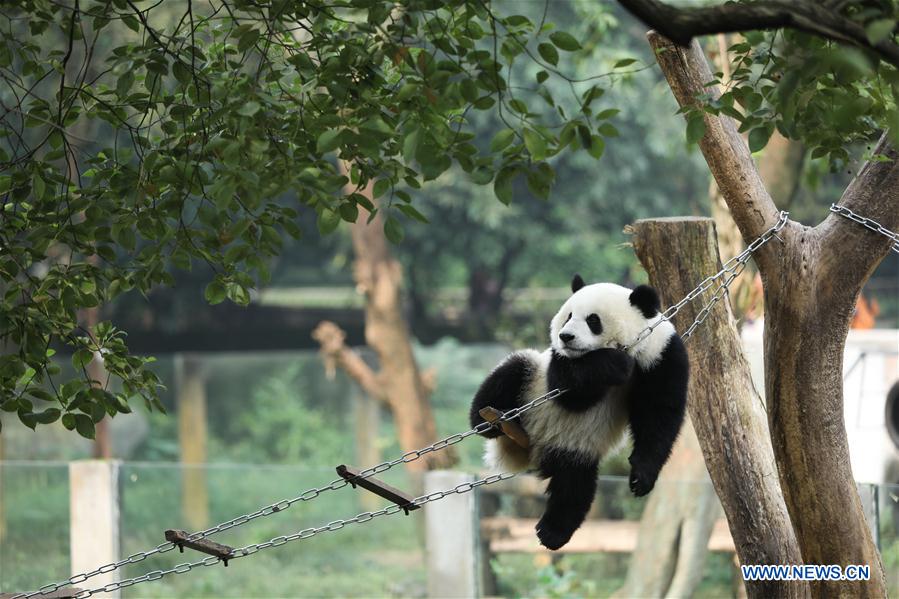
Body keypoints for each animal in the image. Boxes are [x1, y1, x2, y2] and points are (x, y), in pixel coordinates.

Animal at [472, 274, 688, 552]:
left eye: (593, 320)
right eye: (568, 316)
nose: (565, 336)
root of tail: (530, 450)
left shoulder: (661, 354)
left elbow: (659, 413)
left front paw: (641, 477)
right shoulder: (559, 362)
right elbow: (569, 389)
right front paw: (613, 365)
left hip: (576, 450)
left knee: (575, 486)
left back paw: (552, 533)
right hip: (530, 384)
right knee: (513, 369)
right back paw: (491, 420)